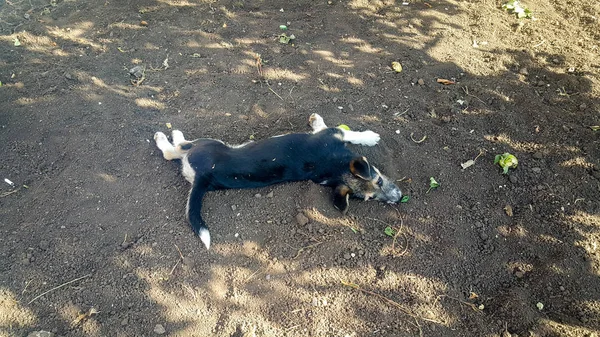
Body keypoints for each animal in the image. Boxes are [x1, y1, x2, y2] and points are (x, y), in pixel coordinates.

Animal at [154, 113, 404, 247]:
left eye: (372, 198)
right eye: (379, 182)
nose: (399, 198)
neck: (335, 167)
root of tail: (204, 176)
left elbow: (349, 133)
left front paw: (368, 137)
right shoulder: (333, 135)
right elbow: (350, 133)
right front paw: (370, 137)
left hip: (205, 144)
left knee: (174, 150)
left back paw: (169, 136)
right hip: (207, 144)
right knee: (175, 150)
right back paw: (171, 134)